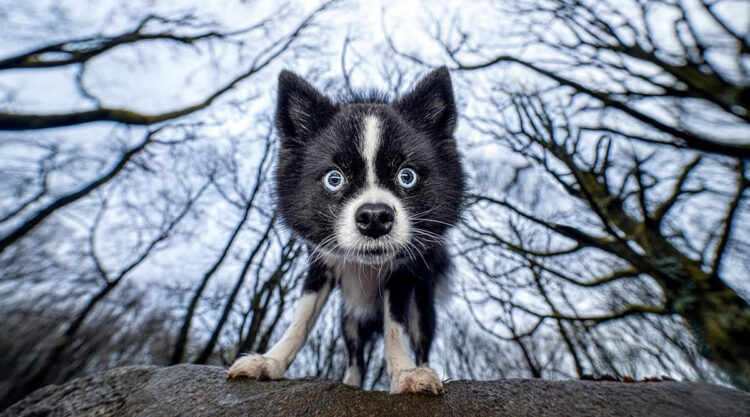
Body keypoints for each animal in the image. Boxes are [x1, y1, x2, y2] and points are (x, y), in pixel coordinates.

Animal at [226, 66, 468, 394]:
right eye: (334, 179)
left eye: (406, 176)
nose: (375, 218)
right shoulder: (320, 267)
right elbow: (301, 321)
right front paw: (269, 361)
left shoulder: (403, 275)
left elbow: (396, 328)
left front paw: (406, 374)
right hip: (349, 319)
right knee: (356, 357)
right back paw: (351, 384)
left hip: (422, 306)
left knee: (419, 340)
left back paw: (422, 368)